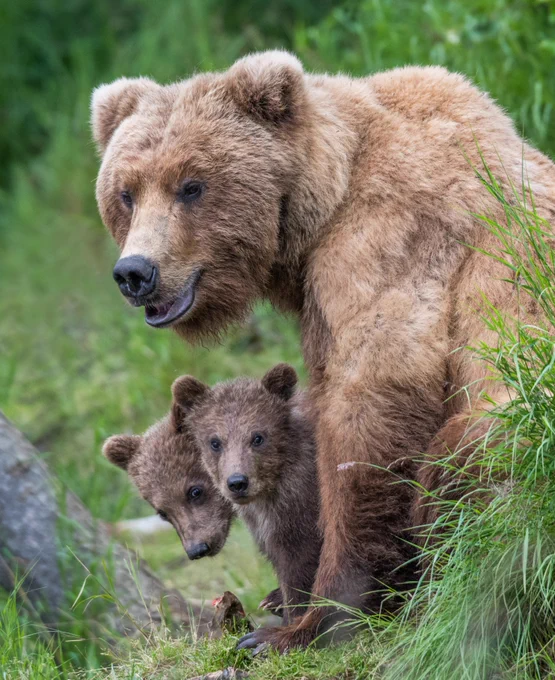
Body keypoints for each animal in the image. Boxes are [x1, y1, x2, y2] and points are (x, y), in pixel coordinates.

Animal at [172, 363, 321, 629]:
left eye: (258, 437)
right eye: (215, 442)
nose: (237, 482)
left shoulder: (301, 513)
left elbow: (300, 565)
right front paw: (275, 600)